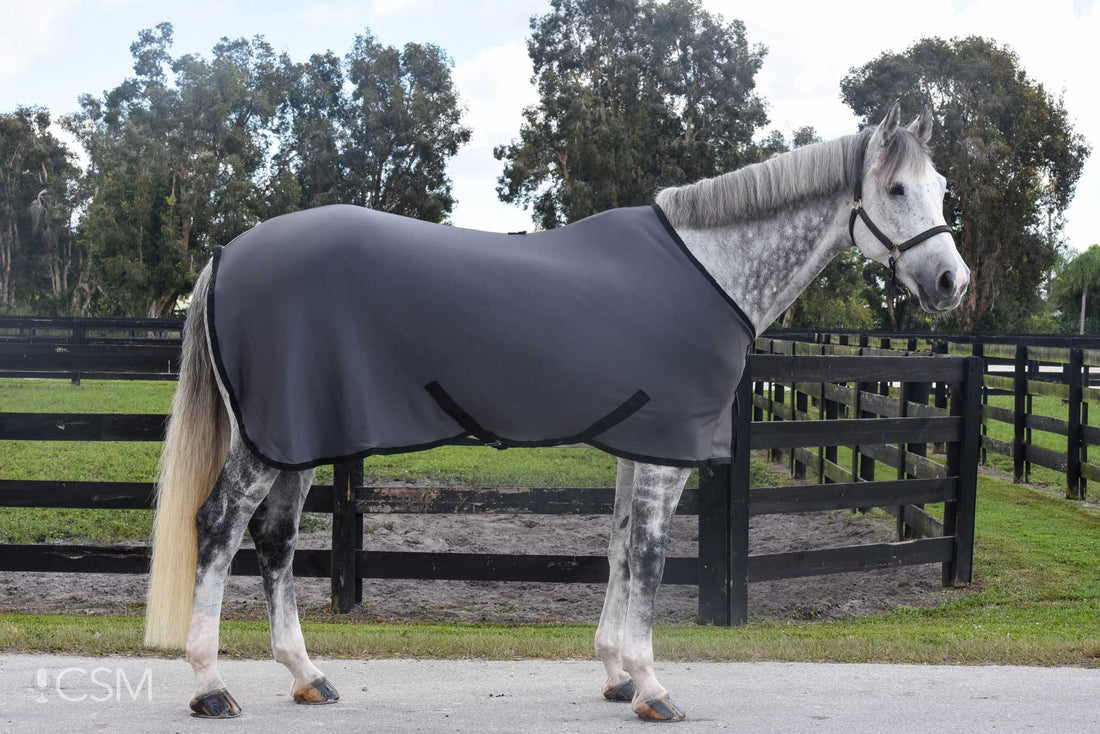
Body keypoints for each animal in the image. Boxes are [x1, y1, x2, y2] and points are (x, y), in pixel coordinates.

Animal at [143, 100, 969, 722]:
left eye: (941, 186)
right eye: (897, 191)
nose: (951, 283)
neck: (711, 269)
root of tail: (225, 255)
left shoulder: (639, 441)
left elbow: (620, 546)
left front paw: (617, 674)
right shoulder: (669, 451)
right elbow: (652, 557)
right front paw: (653, 687)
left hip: (296, 437)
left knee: (275, 539)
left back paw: (305, 675)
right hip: (270, 440)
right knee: (218, 527)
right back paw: (211, 686)